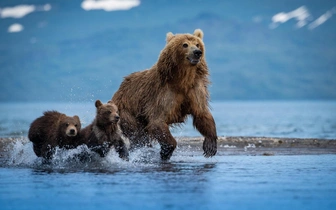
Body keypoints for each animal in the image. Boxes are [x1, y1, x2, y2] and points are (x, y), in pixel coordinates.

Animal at [112, 29, 218, 161]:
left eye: (197, 44)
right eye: (185, 44)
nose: (197, 52)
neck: (182, 80)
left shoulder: (194, 89)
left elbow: (202, 113)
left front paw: (210, 145)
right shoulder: (164, 94)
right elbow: (157, 120)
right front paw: (166, 151)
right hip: (127, 110)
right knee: (137, 134)